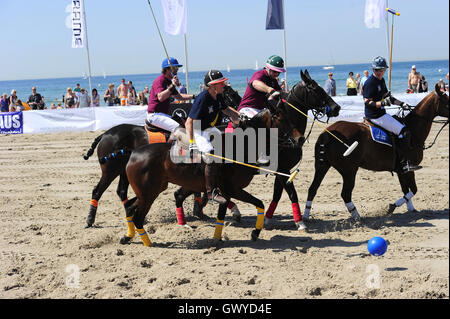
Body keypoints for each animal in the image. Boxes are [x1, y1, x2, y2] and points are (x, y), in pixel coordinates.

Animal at [304, 84, 448, 221]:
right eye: (447, 101)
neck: (414, 130)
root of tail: (327, 133)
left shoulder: (401, 171)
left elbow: (406, 189)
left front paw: (411, 209)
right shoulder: (409, 168)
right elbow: (413, 189)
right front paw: (392, 206)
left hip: (322, 165)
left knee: (312, 188)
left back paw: (306, 216)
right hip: (349, 170)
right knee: (345, 193)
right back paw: (356, 216)